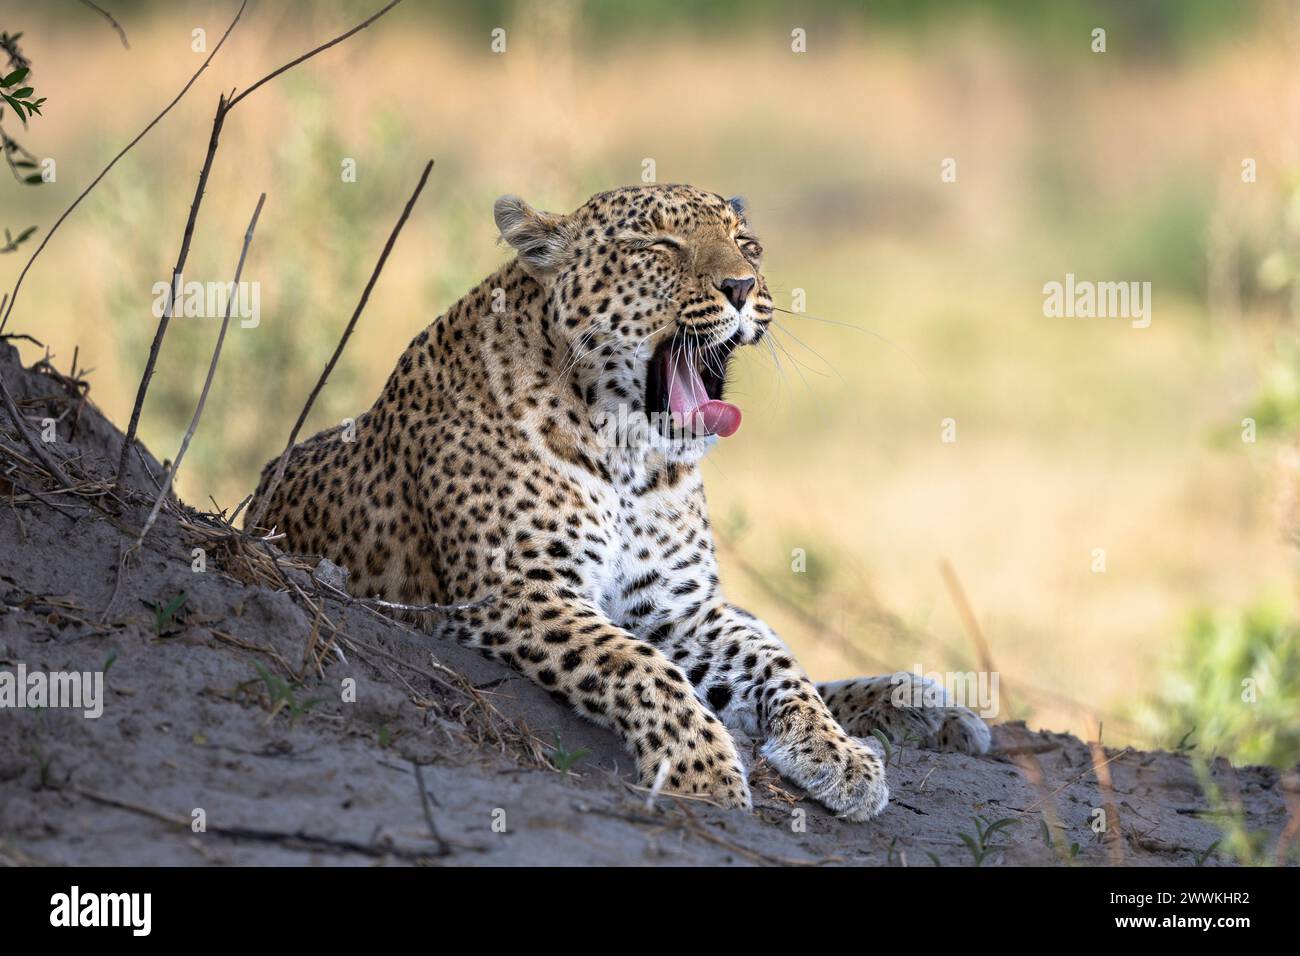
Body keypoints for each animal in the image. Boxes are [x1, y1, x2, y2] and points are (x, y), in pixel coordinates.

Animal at [249, 183, 990, 820]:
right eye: (659, 246)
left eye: (747, 244)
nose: (742, 287)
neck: (631, 457)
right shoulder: (521, 592)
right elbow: (640, 666)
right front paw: (702, 769)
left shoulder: (678, 608)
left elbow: (777, 665)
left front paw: (835, 754)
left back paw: (928, 705)